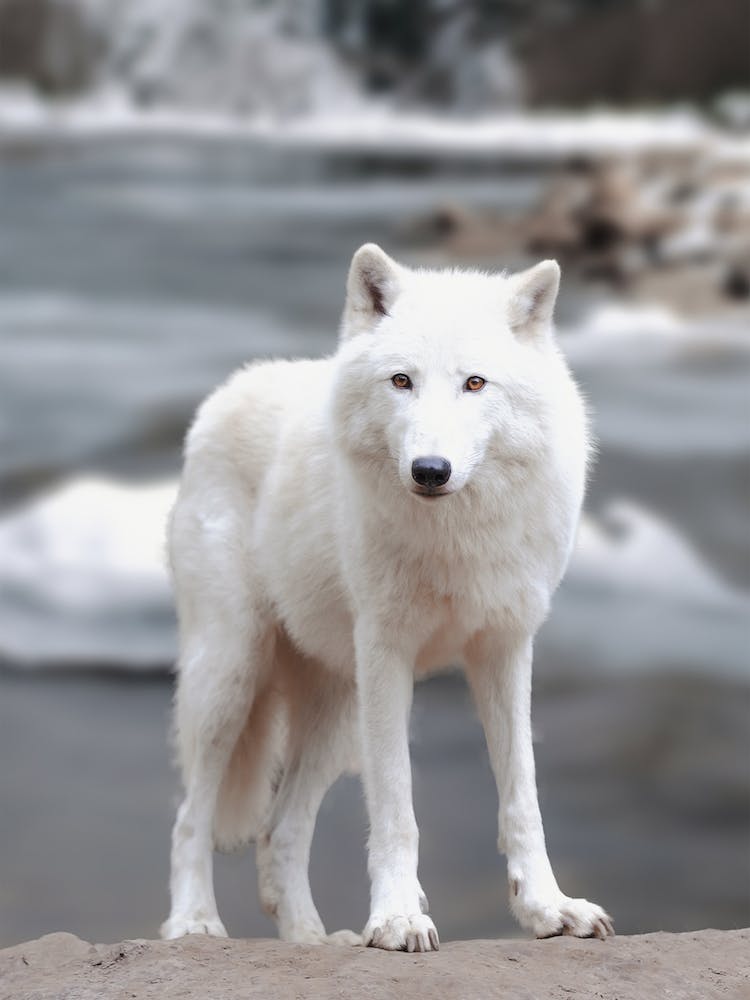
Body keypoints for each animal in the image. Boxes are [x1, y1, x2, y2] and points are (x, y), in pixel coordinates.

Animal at [161, 244, 613, 951]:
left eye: (475, 384)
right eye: (402, 381)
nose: (430, 470)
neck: (454, 538)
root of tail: (227, 390)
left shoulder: (505, 648)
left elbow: (523, 797)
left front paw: (548, 909)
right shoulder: (386, 655)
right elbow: (398, 806)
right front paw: (399, 918)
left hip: (335, 713)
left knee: (279, 831)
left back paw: (314, 941)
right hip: (232, 677)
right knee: (191, 816)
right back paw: (195, 922)